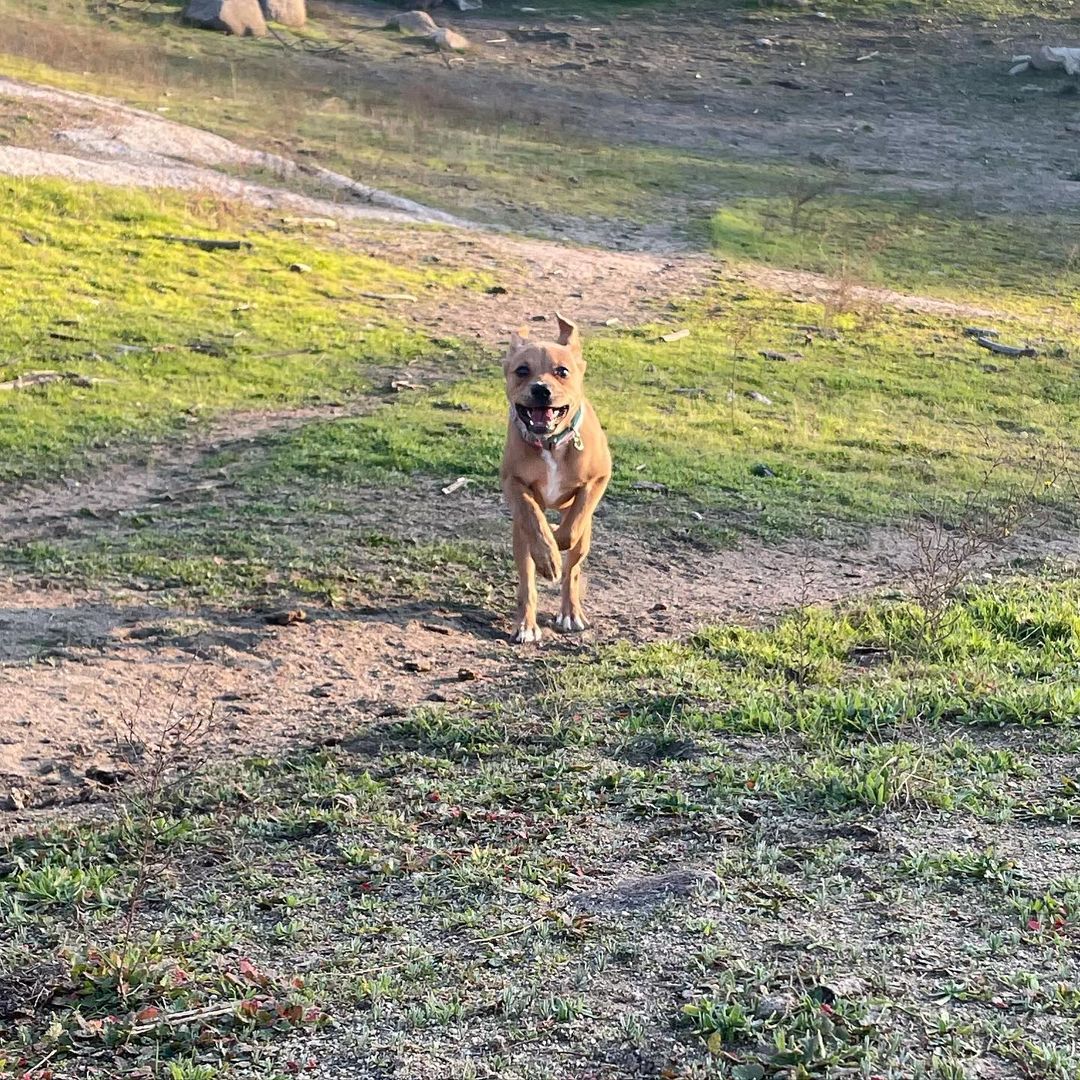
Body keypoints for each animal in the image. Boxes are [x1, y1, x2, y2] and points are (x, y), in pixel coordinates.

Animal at [501, 313, 613, 639]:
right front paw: (547, 553)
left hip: (584, 542)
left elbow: (573, 525)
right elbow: (532, 517)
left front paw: (557, 537)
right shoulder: (513, 482)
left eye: (562, 371)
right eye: (522, 370)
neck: (550, 443)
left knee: (572, 571)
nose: (541, 389)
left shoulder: (598, 479)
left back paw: (570, 613)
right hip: (519, 541)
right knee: (527, 582)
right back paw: (526, 624)